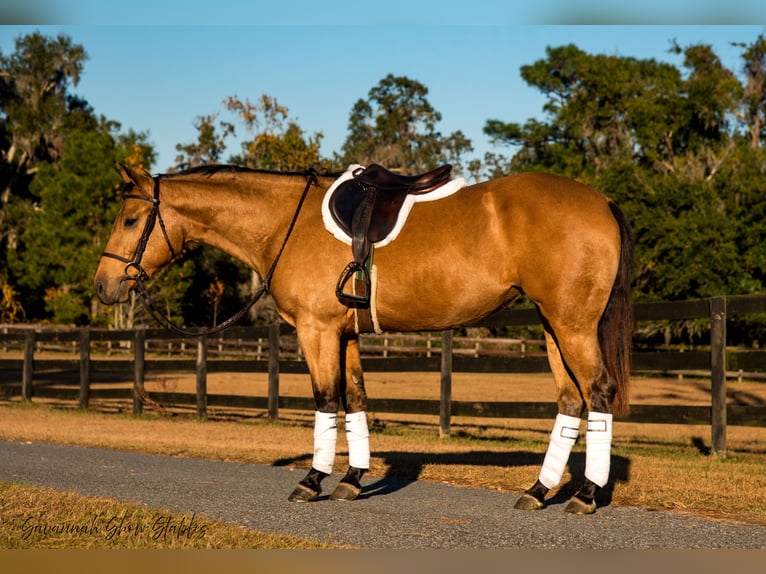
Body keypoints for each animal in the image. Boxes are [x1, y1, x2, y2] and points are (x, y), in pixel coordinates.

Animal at [96, 163, 632, 516]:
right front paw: (352, 481)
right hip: (552, 325)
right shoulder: (344, 335)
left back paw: (586, 495)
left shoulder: (315, 330)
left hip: (572, 325)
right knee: (571, 400)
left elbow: (325, 401)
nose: (104, 286)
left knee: (598, 393)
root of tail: (602, 201)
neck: (288, 223)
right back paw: (539, 491)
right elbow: (354, 401)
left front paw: (312, 481)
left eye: (129, 220)